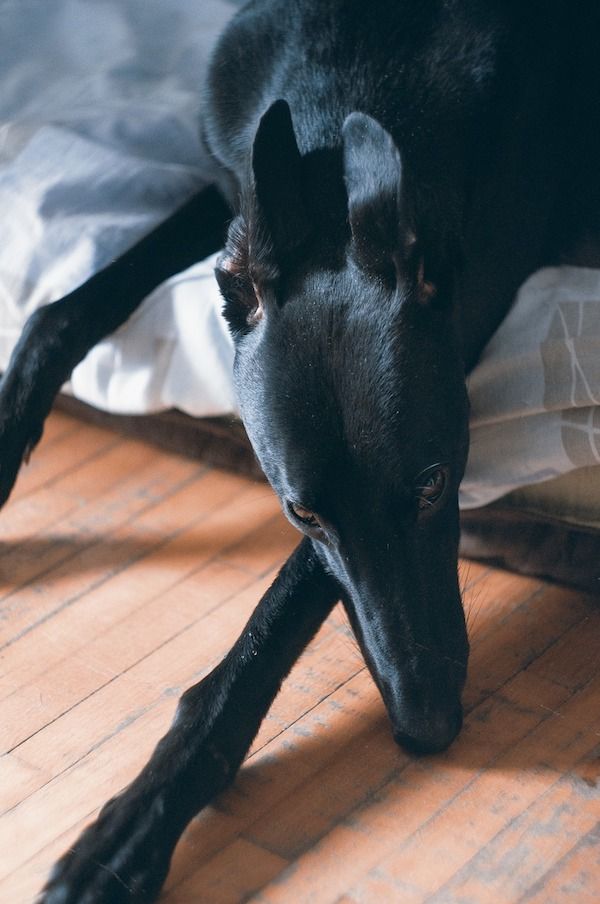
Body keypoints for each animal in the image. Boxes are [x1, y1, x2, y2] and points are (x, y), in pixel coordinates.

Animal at [0, 1, 592, 904]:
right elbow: (61, 312)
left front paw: (129, 831)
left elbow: (270, 625)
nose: (427, 727)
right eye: (301, 511)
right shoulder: (228, 201)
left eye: (433, 484)